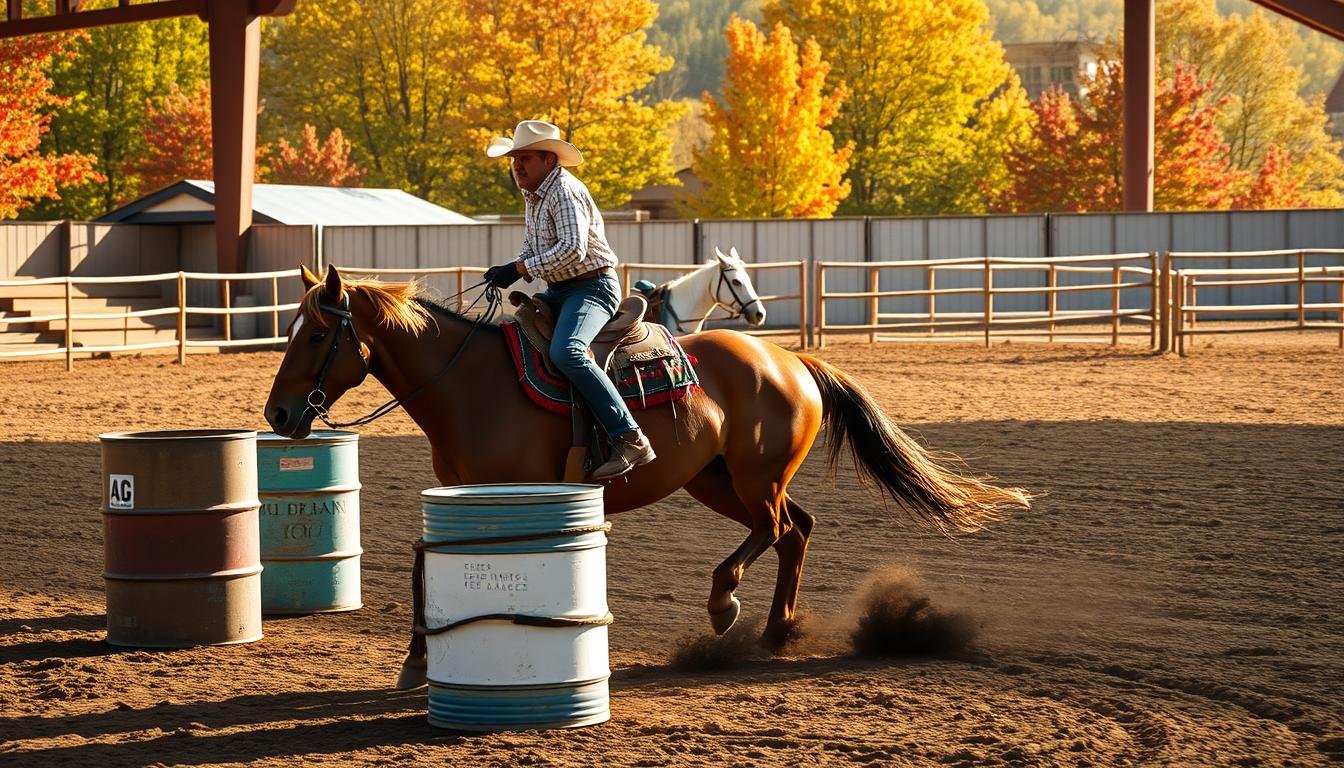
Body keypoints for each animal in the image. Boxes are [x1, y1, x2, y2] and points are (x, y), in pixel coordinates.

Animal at [264, 265, 1033, 689]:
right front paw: (415, 663)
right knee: (794, 529)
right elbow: (423, 568)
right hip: (715, 479)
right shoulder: (457, 505)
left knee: (777, 527)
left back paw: (727, 607)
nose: (277, 414)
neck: (469, 385)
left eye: (315, 334)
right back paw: (775, 631)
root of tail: (789, 359)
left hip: (752, 478)